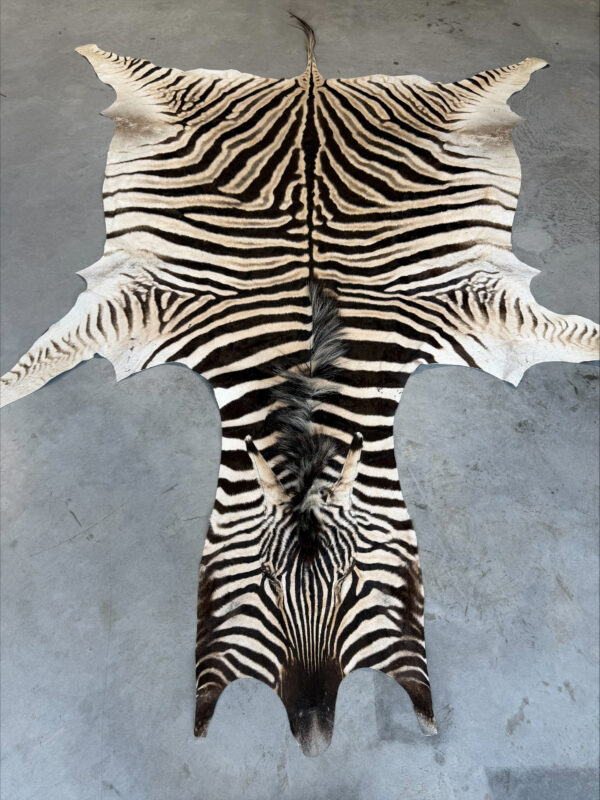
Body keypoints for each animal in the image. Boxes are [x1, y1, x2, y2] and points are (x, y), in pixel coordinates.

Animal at [1, 17, 598, 754]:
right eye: (259, 587)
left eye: (353, 588)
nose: (314, 739)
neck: (308, 391)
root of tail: (311, 83)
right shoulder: (150, 303)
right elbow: (48, 354)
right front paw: (7, 386)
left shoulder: (469, 307)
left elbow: (568, 334)